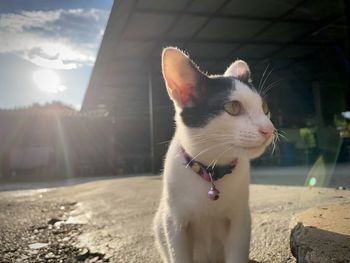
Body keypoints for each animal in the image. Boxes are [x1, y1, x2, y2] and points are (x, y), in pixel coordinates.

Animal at [154, 48, 276, 263]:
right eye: (233, 107)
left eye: (265, 108)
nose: (269, 130)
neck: (212, 168)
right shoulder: (174, 223)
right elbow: (179, 254)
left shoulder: (240, 219)